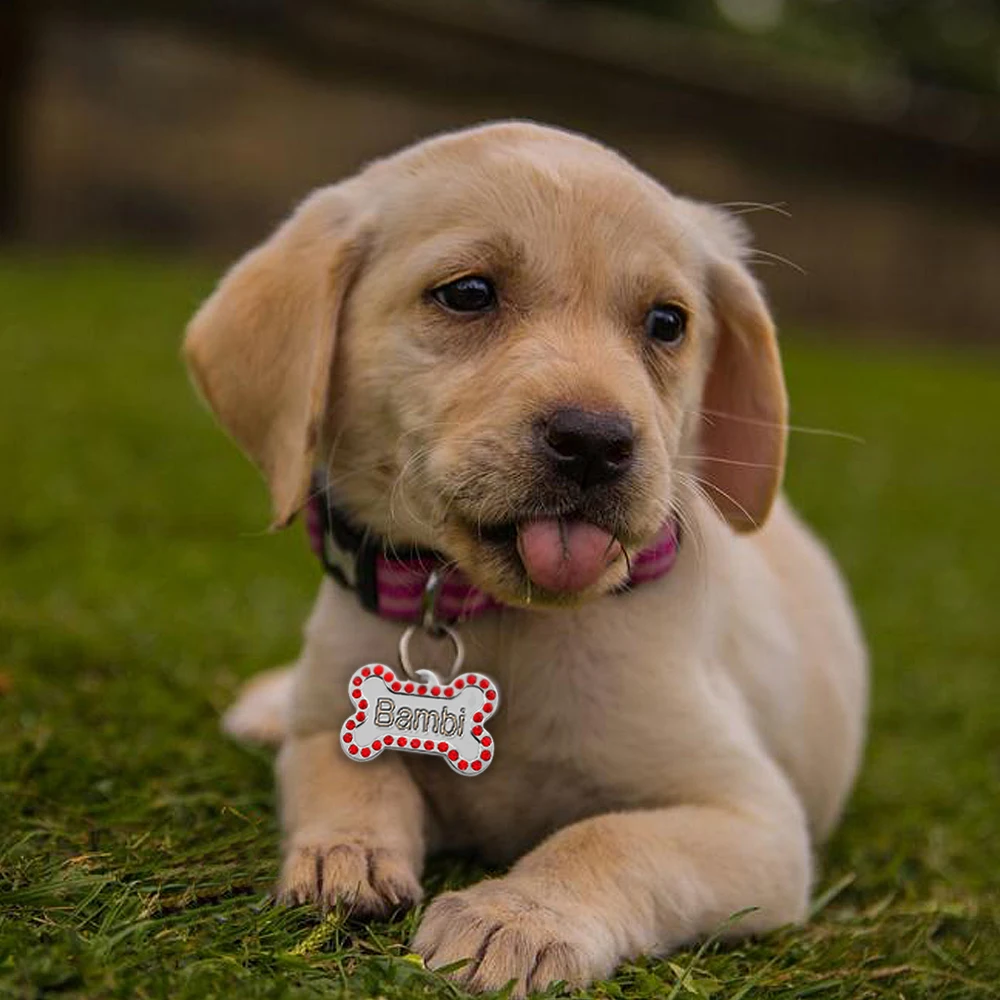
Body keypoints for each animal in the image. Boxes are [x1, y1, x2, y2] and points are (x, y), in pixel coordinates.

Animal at [184, 121, 864, 996]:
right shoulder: (328, 721)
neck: (500, 620)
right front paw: (345, 851)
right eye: (468, 293)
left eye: (667, 322)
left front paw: (514, 918)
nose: (596, 442)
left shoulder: (754, 819)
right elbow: (343, 770)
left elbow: (605, 839)